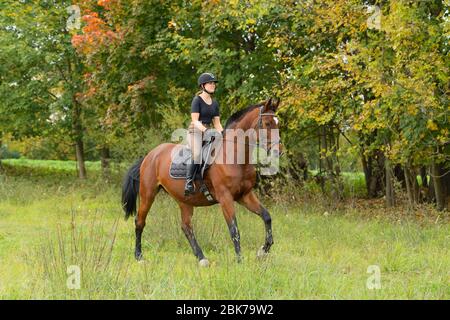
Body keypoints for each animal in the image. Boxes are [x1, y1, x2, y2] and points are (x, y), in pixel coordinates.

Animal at [119, 97, 282, 264]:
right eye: (267, 123)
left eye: (278, 123)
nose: (278, 151)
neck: (235, 157)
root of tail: (150, 155)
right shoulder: (225, 198)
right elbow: (234, 230)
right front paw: (240, 260)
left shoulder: (245, 195)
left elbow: (266, 217)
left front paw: (263, 251)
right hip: (148, 194)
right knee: (140, 221)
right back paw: (139, 256)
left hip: (184, 200)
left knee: (186, 227)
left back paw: (201, 258)